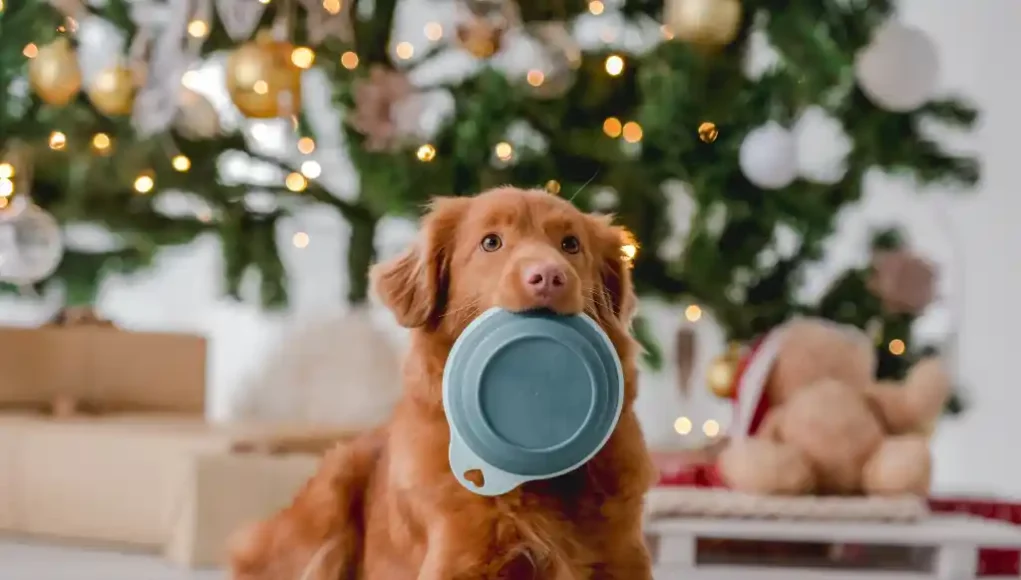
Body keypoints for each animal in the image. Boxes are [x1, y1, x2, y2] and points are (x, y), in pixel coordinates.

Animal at [228, 186, 657, 580]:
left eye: (571, 245)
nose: (549, 277)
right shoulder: (458, 558)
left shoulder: (624, 557)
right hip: (333, 483)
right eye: (491, 242)